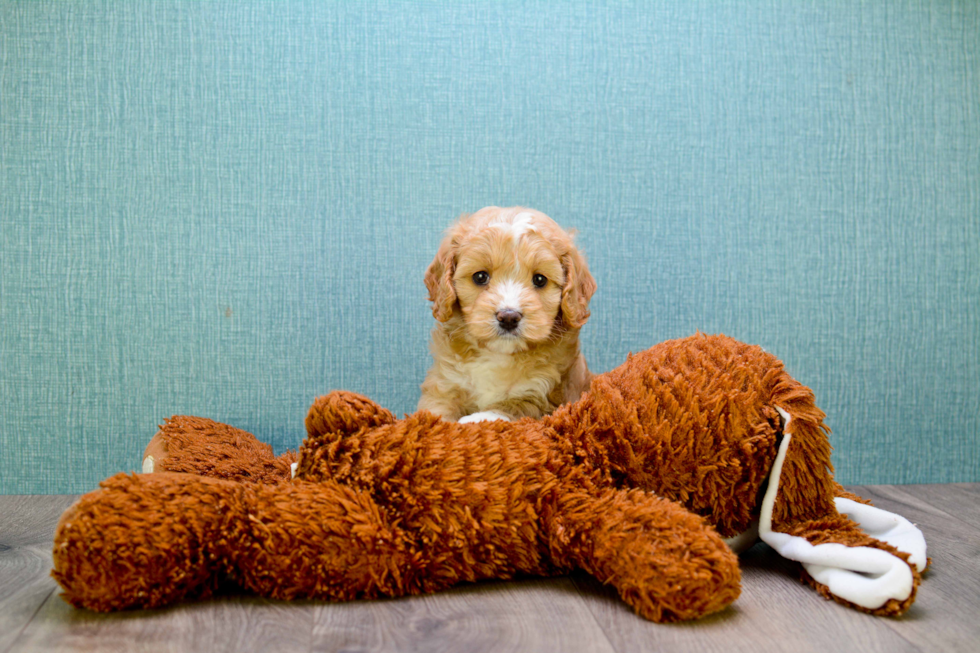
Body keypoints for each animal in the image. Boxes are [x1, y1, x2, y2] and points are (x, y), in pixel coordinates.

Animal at [418, 206, 592, 426]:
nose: (508, 317)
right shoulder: (444, 384)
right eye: (480, 277)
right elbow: (435, 411)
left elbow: (510, 406)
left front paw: (475, 420)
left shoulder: (542, 396)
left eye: (540, 280)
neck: (498, 354)